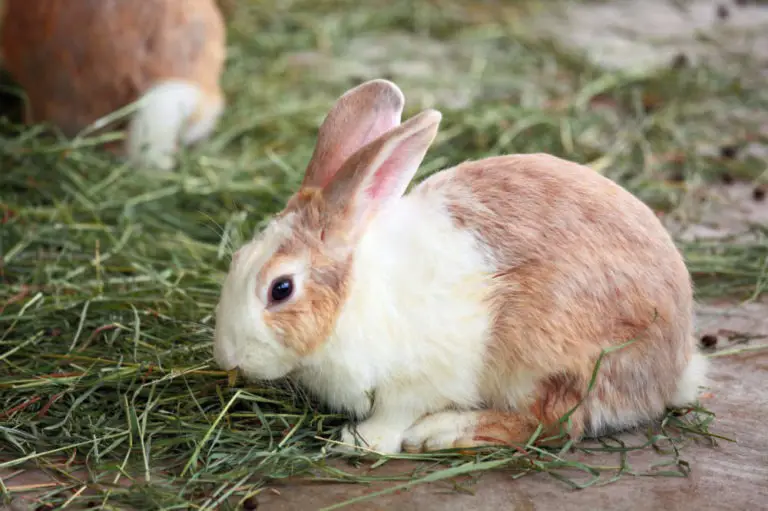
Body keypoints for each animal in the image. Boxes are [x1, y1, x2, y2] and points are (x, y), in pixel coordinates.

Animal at [212, 78, 708, 454]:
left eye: (280, 289)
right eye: (236, 259)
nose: (226, 357)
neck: (355, 297)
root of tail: (673, 366)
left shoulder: (417, 379)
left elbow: (394, 415)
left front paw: (359, 441)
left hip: (551, 358)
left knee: (553, 423)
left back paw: (442, 433)